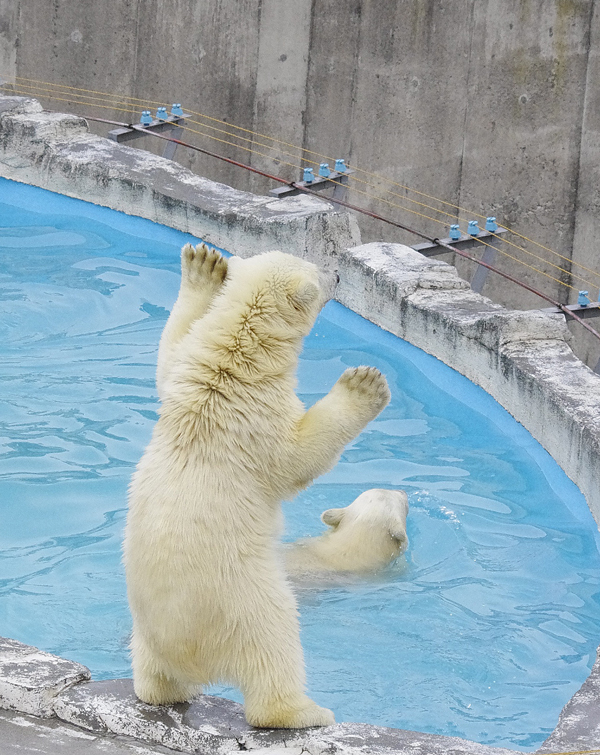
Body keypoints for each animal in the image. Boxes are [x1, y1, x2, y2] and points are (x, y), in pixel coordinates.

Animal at [124, 245, 392, 728]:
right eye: (319, 274)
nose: (339, 274)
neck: (231, 361)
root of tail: (190, 653)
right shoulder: (258, 415)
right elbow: (299, 457)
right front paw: (364, 383)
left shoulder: (184, 375)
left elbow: (169, 355)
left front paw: (204, 266)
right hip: (248, 604)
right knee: (276, 651)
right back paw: (307, 711)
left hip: (147, 629)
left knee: (154, 672)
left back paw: (160, 691)